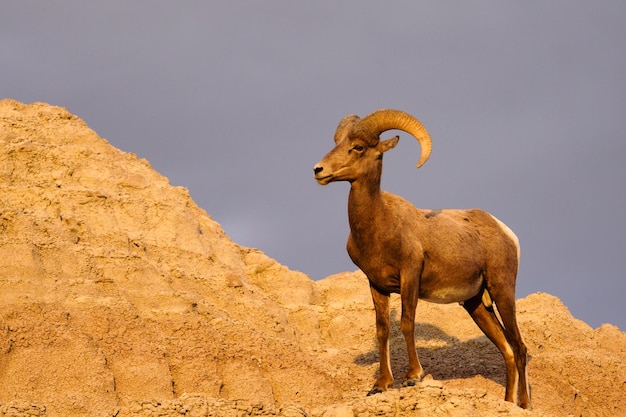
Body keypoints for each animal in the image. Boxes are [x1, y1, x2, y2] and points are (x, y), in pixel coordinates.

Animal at [310, 109, 528, 408]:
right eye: (338, 143)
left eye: (359, 147)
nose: (318, 170)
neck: (380, 227)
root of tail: (505, 231)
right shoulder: (376, 285)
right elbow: (382, 330)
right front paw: (381, 385)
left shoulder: (410, 276)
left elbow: (406, 322)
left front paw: (413, 376)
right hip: (476, 305)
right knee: (507, 349)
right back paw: (507, 403)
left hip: (502, 291)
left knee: (520, 348)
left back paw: (525, 404)